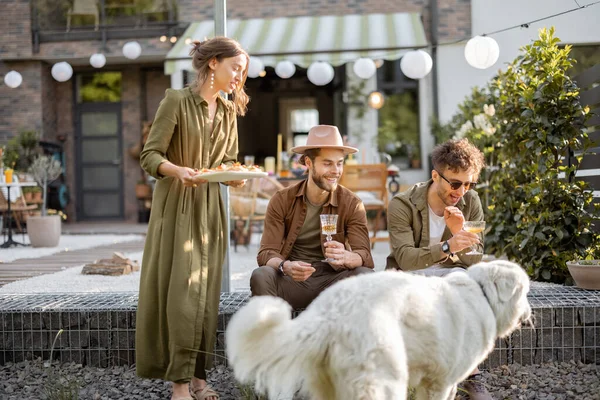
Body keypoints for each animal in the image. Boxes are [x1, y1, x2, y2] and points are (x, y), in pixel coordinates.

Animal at [227, 260, 532, 400]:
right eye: (525, 291)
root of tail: (330, 314)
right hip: (384, 379)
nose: (530, 314)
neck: (482, 294)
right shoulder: (440, 383)